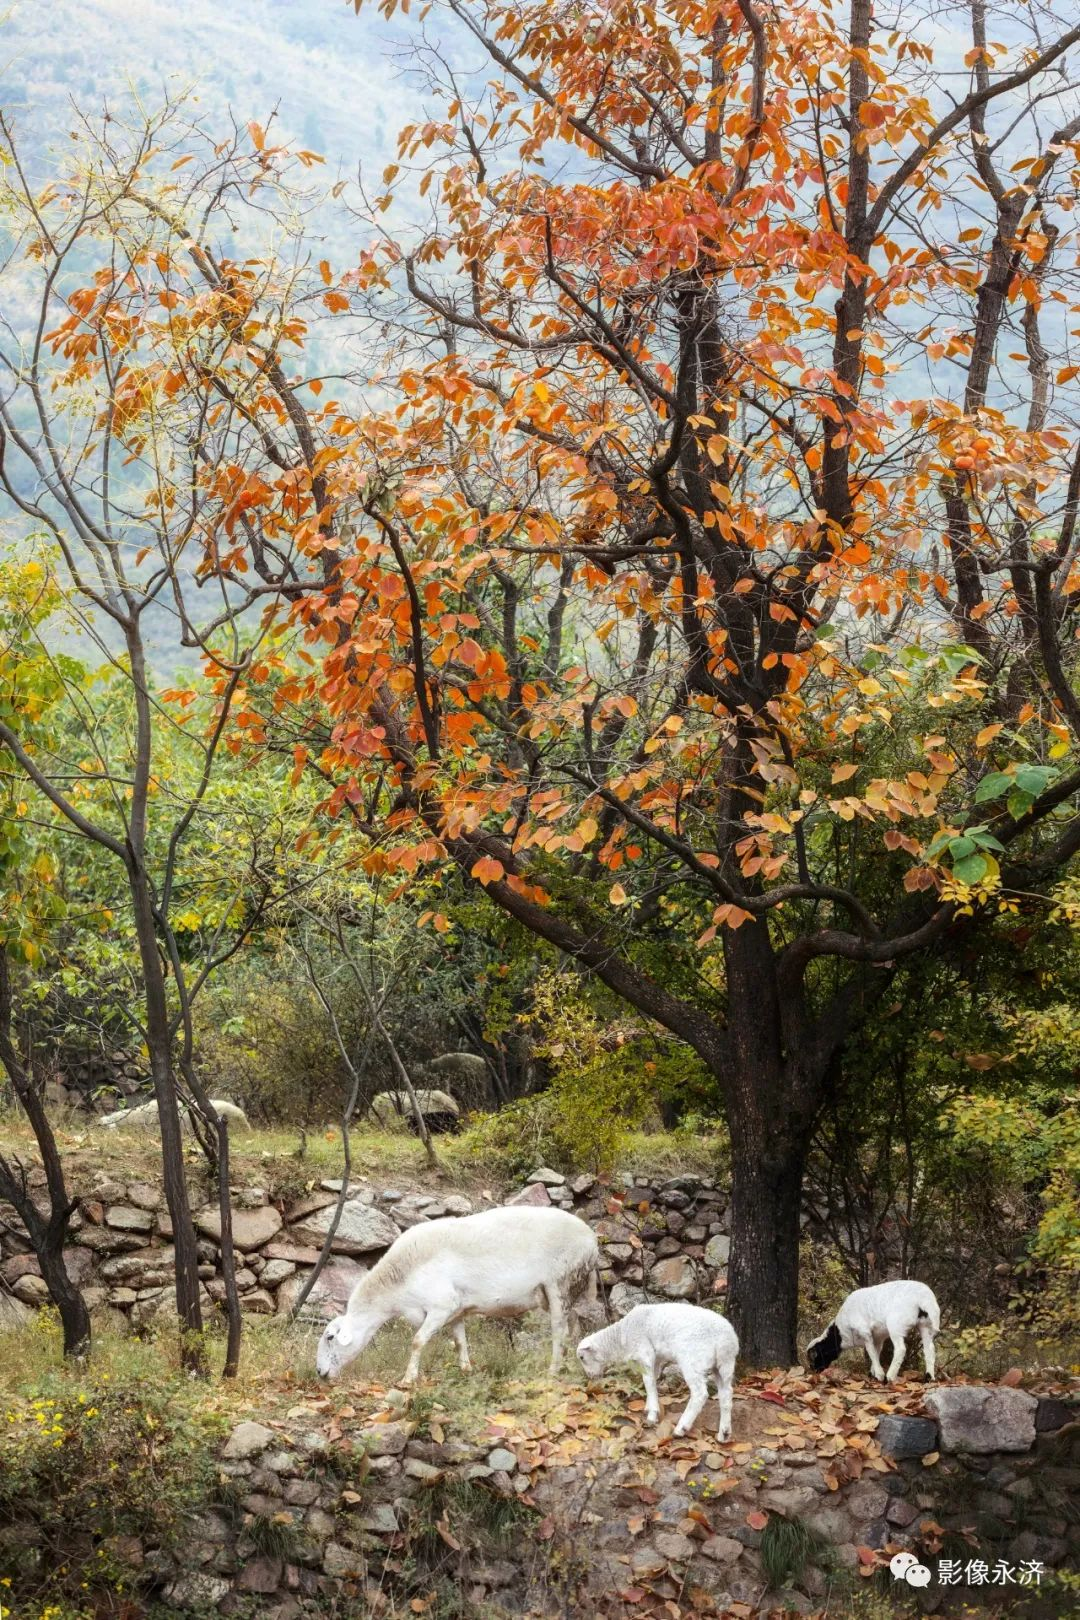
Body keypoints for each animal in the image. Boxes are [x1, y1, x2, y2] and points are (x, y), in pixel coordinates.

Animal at [314, 1211, 599, 1386]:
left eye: (330, 1338)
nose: (319, 1372)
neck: (398, 1284)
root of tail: (592, 1240)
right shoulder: (456, 1312)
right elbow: (460, 1342)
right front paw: (466, 1371)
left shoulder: (442, 1306)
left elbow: (417, 1341)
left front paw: (408, 1379)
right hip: (566, 1291)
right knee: (574, 1326)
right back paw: (573, 1367)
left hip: (560, 1283)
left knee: (559, 1331)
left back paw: (553, 1371)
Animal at [579, 1302, 738, 1445]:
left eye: (581, 1358)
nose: (590, 1377)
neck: (622, 1335)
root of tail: (727, 1341)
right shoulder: (657, 1357)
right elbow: (652, 1380)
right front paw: (649, 1407)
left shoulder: (645, 1352)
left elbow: (647, 1381)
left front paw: (652, 1415)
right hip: (724, 1366)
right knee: (726, 1394)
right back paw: (724, 1433)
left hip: (692, 1359)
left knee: (700, 1393)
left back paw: (681, 1428)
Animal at [806, 1276, 939, 1380]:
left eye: (815, 1356)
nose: (814, 1371)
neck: (841, 1333)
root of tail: (924, 1297)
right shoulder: (878, 1337)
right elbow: (876, 1351)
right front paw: (873, 1373)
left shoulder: (865, 1332)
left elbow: (871, 1352)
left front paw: (879, 1375)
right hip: (925, 1325)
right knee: (929, 1349)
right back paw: (929, 1377)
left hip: (896, 1325)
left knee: (900, 1349)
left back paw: (890, 1377)